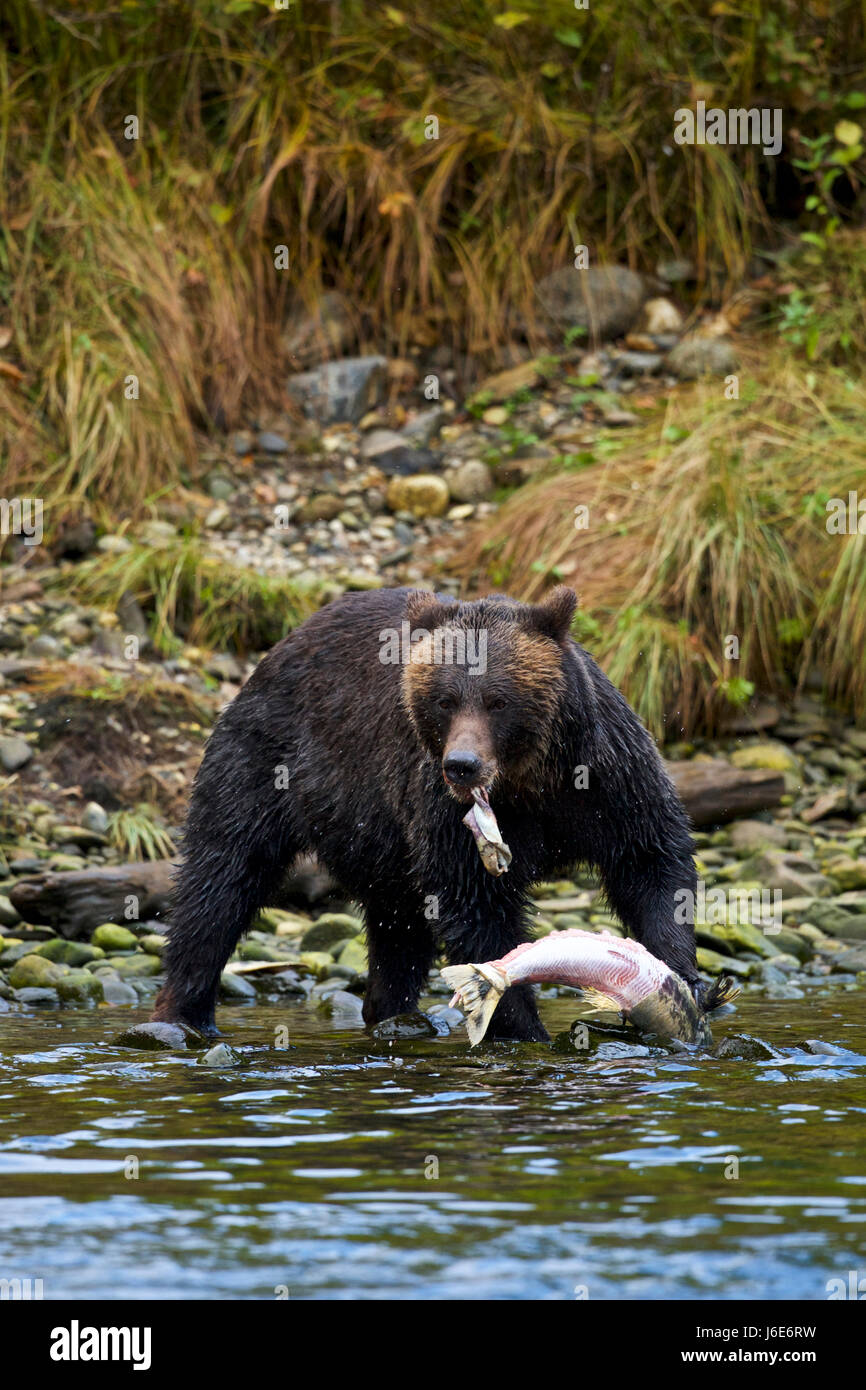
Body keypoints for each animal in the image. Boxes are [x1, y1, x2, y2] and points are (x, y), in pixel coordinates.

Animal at [152, 586, 700, 1045]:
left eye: (498, 700)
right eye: (445, 699)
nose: (463, 764)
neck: (529, 781)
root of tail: (277, 650)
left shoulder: (607, 778)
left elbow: (650, 860)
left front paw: (676, 974)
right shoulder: (444, 807)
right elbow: (477, 910)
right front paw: (523, 1027)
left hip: (378, 837)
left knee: (398, 925)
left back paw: (395, 1013)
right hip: (266, 761)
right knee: (222, 878)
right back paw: (181, 1015)